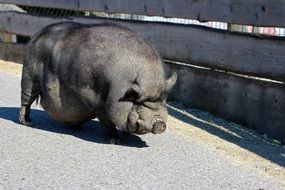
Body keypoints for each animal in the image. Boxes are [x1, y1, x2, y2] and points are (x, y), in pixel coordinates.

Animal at [18, 21, 175, 144]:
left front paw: (126, 137)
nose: (161, 125)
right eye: (138, 104)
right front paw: (115, 141)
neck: (118, 89)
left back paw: (76, 128)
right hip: (29, 74)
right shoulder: (95, 100)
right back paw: (28, 122)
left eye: (163, 102)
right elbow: (108, 123)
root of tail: (37, 35)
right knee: (26, 100)